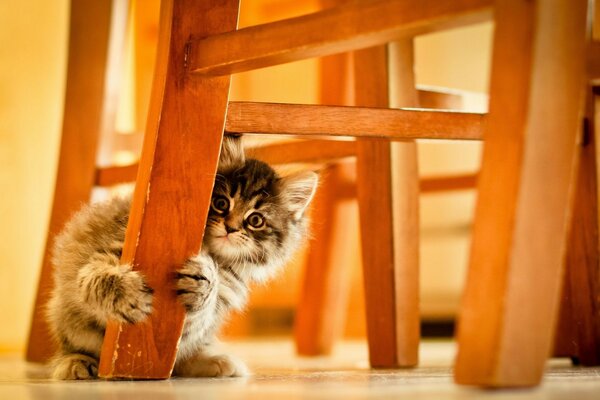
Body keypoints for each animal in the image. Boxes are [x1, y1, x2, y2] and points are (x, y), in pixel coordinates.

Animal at [47, 136, 318, 380]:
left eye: (255, 220)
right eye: (221, 203)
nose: (230, 228)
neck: (216, 256)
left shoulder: (214, 307)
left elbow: (200, 313)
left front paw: (203, 282)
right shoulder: (112, 249)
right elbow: (98, 277)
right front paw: (126, 296)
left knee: (181, 361)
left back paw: (214, 362)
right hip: (66, 315)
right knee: (72, 345)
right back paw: (76, 362)